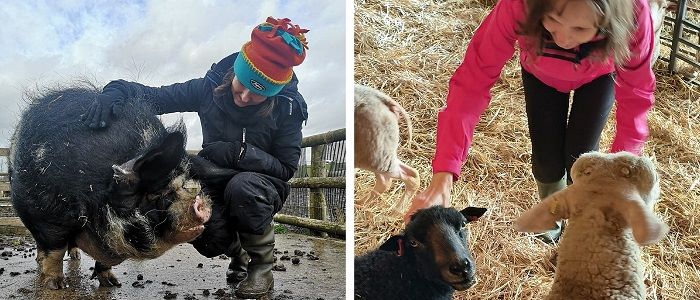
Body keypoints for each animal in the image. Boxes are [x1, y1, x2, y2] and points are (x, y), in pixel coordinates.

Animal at [8, 85, 216, 290]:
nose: (201, 203)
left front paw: (113, 284)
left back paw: (76, 256)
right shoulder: (48, 215)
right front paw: (55, 286)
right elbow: (55, 250)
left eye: (188, 182)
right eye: (157, 192)